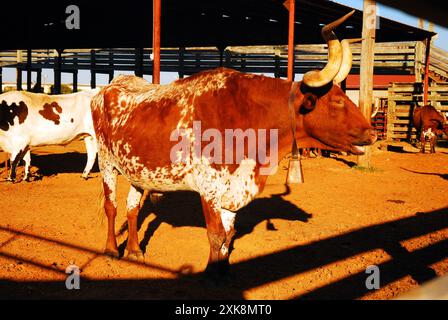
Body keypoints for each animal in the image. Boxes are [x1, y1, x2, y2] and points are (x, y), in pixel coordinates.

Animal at [92, 11, 378, 272]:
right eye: (337, 101)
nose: (372, 133)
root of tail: (110, 86)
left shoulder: (233, 189)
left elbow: (227, 235)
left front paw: (222, 271)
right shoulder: (209, 188)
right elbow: (216, 234)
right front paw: (211, 273)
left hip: (137, 170)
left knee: (132, 208)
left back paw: (134, 250)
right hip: (106, 163)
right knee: (111, 206)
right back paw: (111, 249)